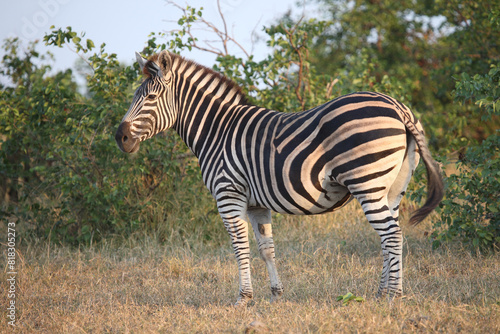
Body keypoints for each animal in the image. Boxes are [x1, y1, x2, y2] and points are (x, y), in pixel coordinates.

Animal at [115, 49, 444, 306]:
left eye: (151, 97)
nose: (121, 138)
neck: (216, 131)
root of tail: (398, 107)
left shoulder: (228, 194)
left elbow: (240, 247)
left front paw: (243, 299)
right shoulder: (256, 203)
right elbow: (266, 249)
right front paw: (275, 294)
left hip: (368, 183)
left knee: (392, 235)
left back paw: (393, 297)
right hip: (392, 188)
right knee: (390, 235)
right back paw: (380, 293)